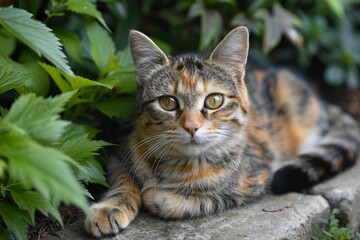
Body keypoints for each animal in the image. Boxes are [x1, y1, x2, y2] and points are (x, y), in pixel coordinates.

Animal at [84, 26, 360, 238]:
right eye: (168, 103)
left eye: (214, 100)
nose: (191, 126)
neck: (182, 164)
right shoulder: (120, 152)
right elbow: (123, 180)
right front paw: (108, 209)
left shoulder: (255, 177)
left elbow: (201, 198)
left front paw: (158, 196)